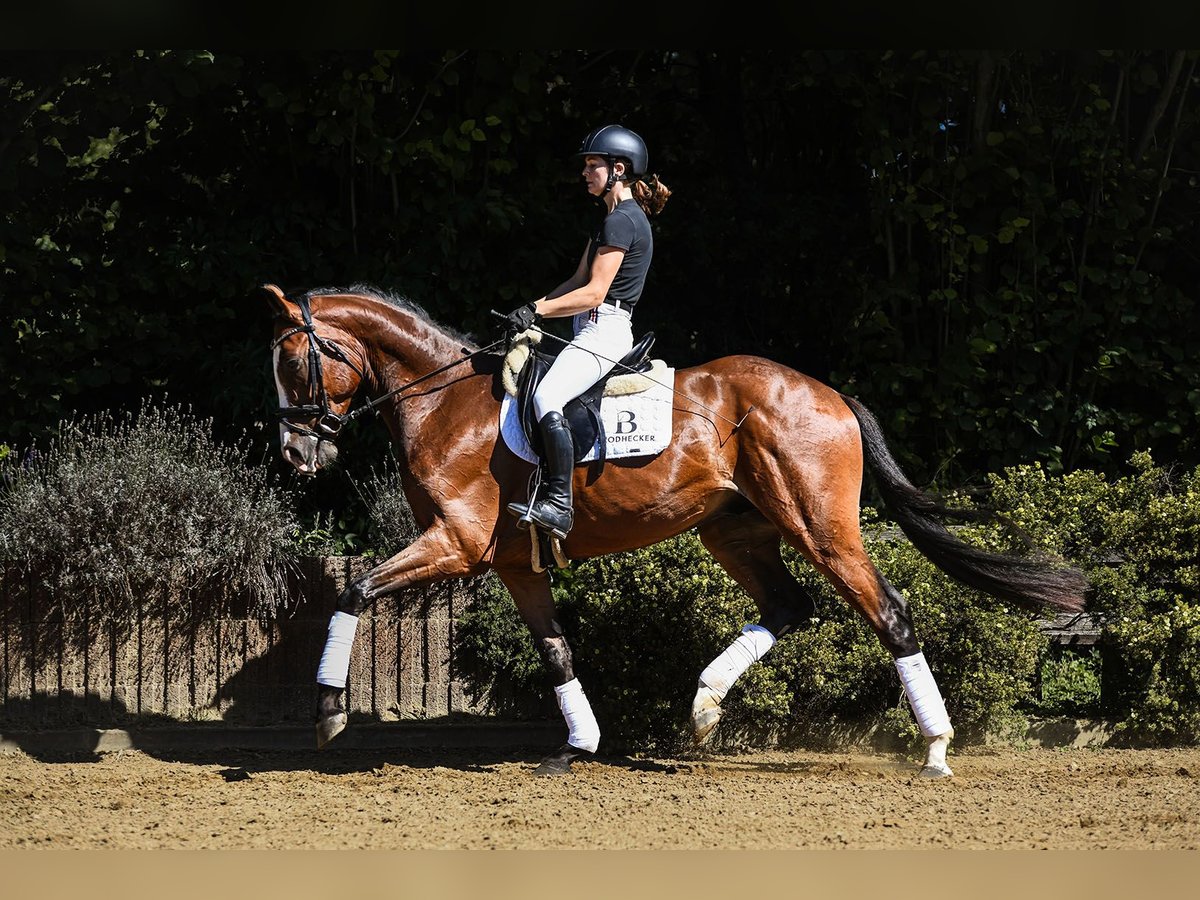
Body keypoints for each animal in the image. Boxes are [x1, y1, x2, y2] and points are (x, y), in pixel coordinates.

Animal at [267, 285, 1094, 777]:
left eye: (295, 362)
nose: (297, 454)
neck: (442, 402)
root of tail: (829, 394)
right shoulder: (514, 564)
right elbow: (557, 649)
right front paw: (578, 747)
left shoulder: (456, 544)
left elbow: (353, 590)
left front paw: (329, 715)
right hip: (736, 531)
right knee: (789, 607)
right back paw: (702, 709)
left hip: (819, 525)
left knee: (886, 610)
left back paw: (935, 748)